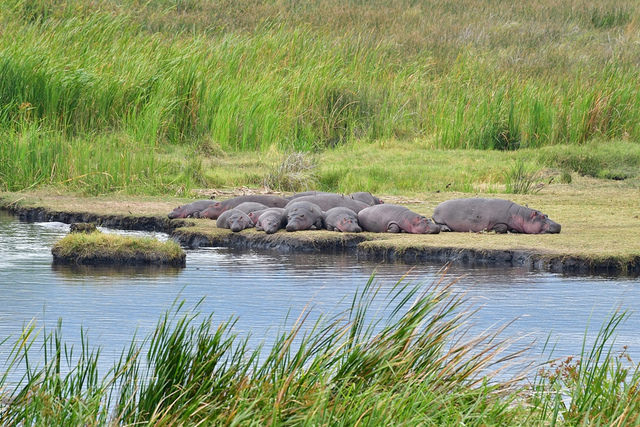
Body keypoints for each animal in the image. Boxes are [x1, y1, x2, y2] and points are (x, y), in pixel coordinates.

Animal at [432, 197, 564, 234]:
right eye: (542, 217)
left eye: (546, 214)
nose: (559, 225)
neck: (522, 215)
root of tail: (436, 207)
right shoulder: (499, 222)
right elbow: (502, 227)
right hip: (440, 218)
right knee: (440, 224)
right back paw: (446, 229)